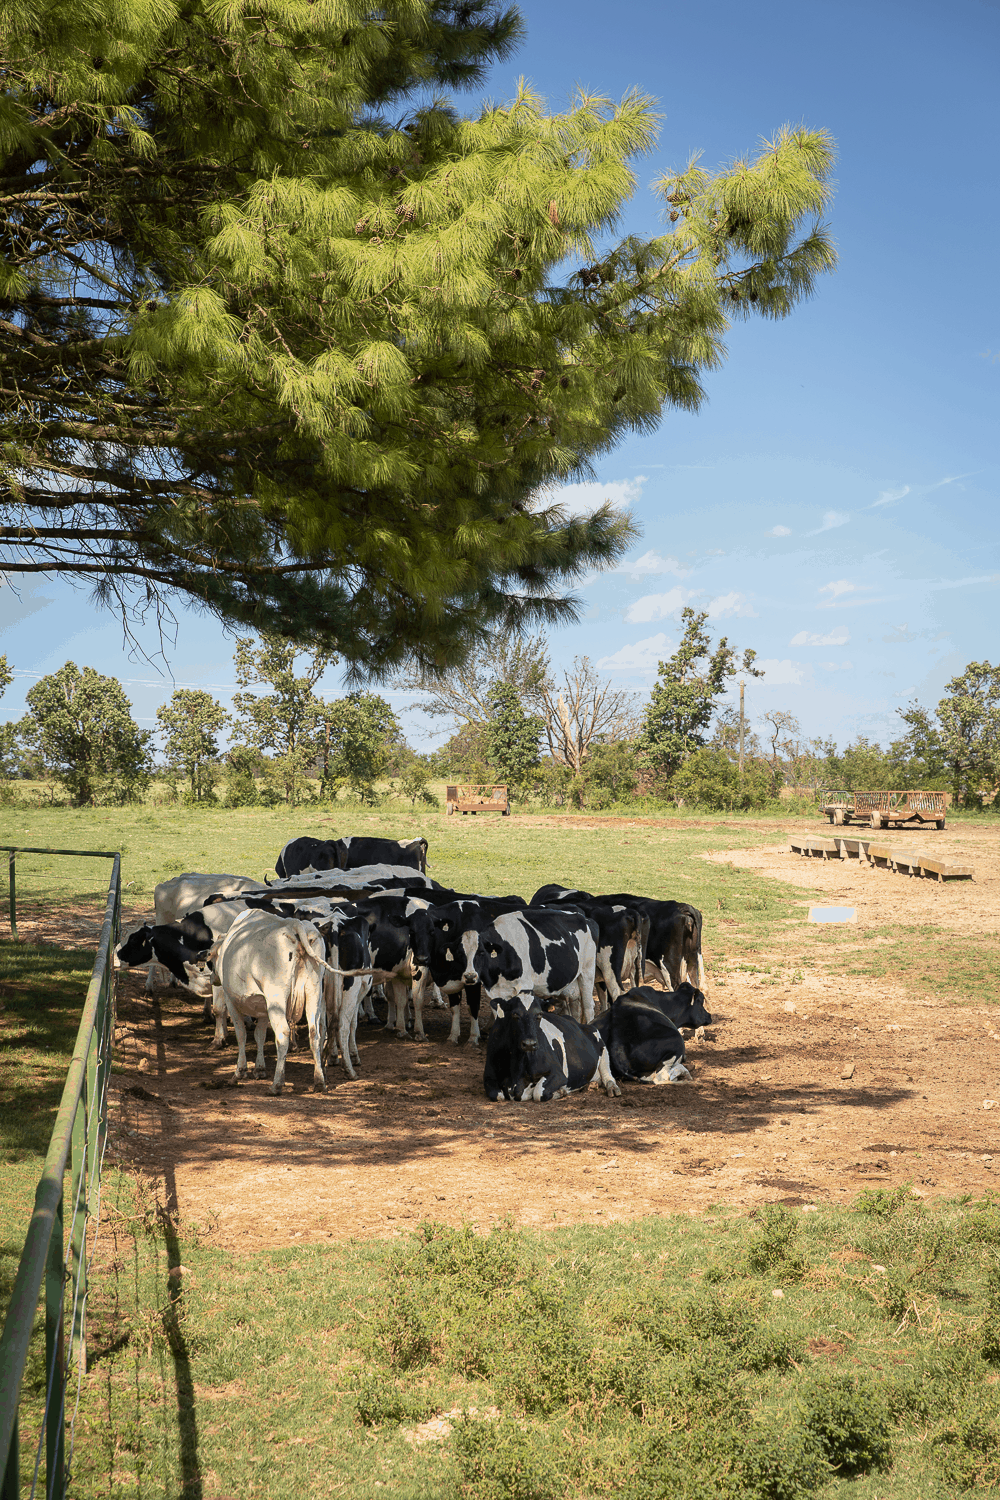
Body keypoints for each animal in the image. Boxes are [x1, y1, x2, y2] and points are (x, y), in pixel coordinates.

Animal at [482, 996, 620, 1104]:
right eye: (515, 1014)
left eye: (539, 1014)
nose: (529, 1044)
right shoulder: (488, 1076)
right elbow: (497, 1095)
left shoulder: (558, 1074)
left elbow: (538, 1093)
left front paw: (561, 1091)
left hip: (600, 1043)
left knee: (608, 1075)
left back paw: (612, 1088)